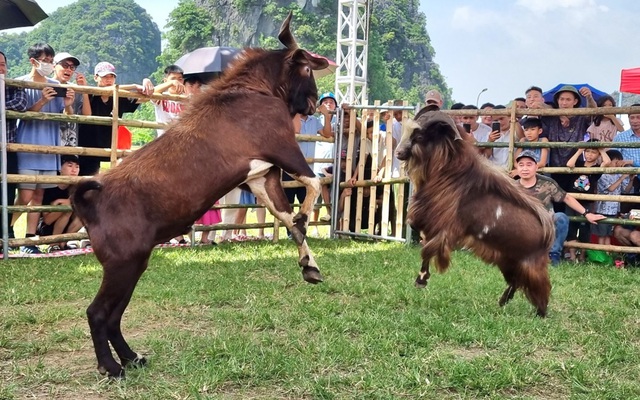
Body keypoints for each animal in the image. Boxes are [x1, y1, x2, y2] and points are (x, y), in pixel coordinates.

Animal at [396, 104, 556, 318]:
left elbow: (427, 250)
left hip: (531, 266)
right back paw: (503, 300)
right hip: (508, 261)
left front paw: (421, 280)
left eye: (420, 136)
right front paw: (422, 279)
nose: (398, 153)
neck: (448, 173)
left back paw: (540, 313)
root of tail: (548, 234)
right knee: (515, 282)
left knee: (541, 289)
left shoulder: (445, 227)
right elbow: (424, 242)